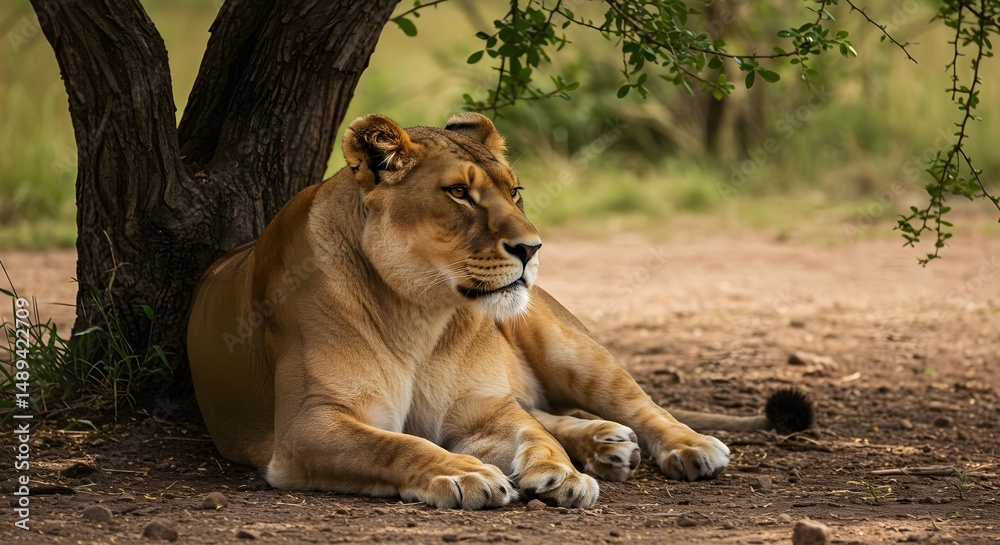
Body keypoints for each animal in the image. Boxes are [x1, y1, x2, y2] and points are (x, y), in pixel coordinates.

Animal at [186, 112, 811, 509]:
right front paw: (463, 472)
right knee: (548, 410)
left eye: (515, 191)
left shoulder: (482, 409)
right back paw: (607, 444)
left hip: (567, 342)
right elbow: (397, 442)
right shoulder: (307, 426)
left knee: (632, 403)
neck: (421, 314)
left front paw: (560, 474)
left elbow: (530, 431)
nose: (532, 249)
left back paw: (678, 446)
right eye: (459, 193)